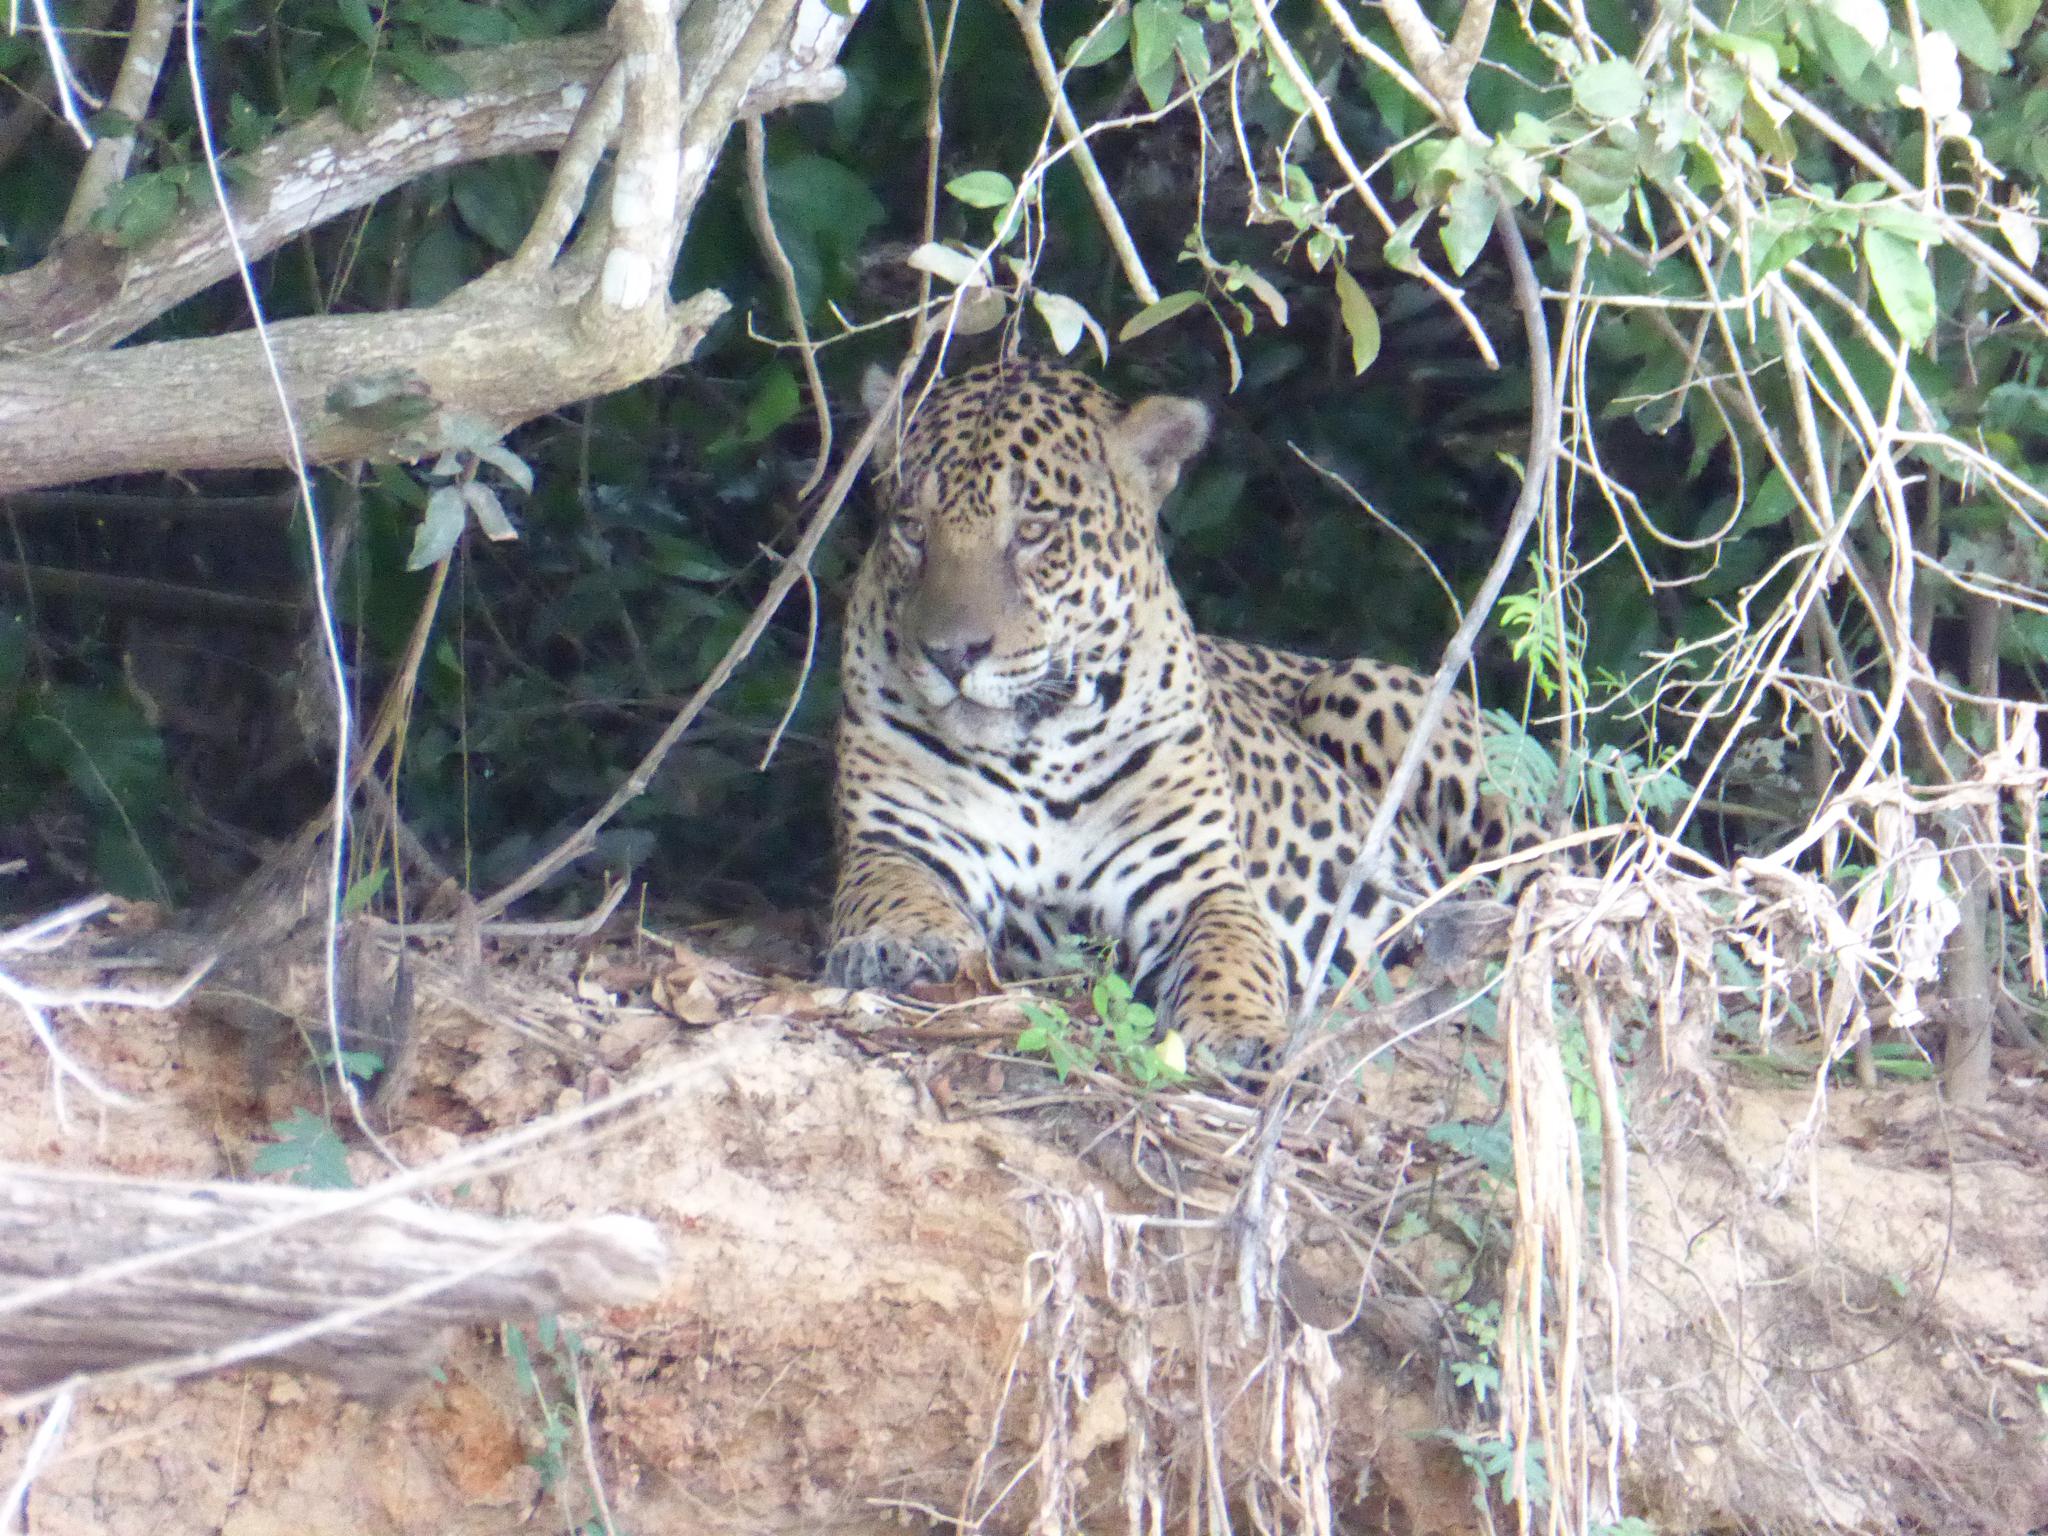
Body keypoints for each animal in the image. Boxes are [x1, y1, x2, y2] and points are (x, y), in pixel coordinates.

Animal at [823, 358, 1533, 1055]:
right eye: (912, 529)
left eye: (1033, 531)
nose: (951, 655)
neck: (1039, 748)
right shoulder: (895, 842)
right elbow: (895, 892)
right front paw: (905, 943)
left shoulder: (1200, 880)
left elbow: (1231, 953)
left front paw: (1238, 1027)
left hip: (1365, 691)